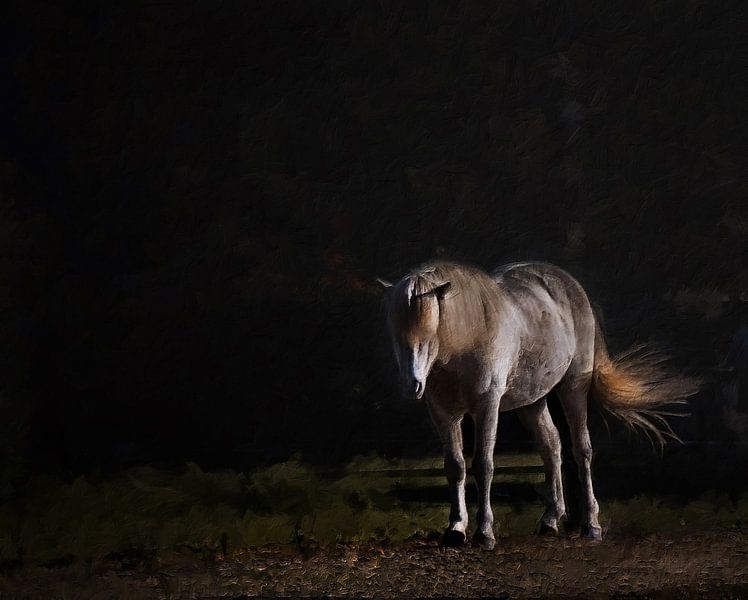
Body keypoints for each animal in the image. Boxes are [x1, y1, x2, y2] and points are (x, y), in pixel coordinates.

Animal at [378, 260, 699, 549]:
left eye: (429, 334)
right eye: (396, 336)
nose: (412, 385)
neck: (468, 338)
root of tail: (572, 287)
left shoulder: (487, 406)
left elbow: (483, 464)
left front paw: (485, 532)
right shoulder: (444, 414)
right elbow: (455, 466)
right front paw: (456, 529)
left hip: (573, 388)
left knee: (581, 450)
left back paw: (591, 525)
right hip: (532, 402)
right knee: (552, 446)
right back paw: (551, 520)